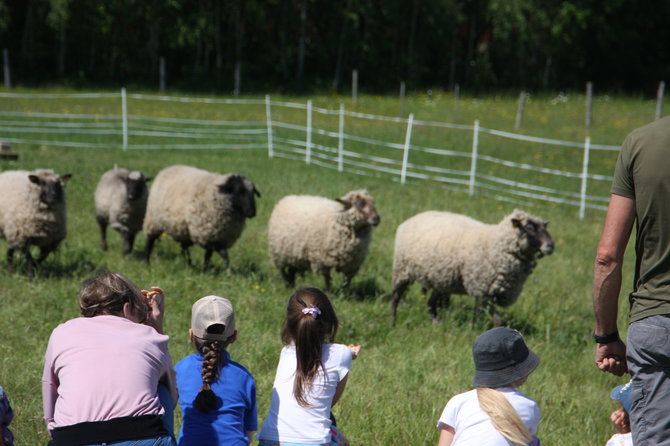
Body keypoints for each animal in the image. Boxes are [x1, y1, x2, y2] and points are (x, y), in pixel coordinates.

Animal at [392, 209, 552, 324]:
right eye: (529, 227)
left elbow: (481, 316)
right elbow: (495, 320)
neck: (496, 245)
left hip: (442, 278)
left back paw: (436, 322)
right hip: (402, 268)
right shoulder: (482, 289)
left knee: (431, 303)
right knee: (396, 296)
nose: (550, 246)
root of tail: (413, 218)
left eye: (544, 227)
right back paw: (392, 322)